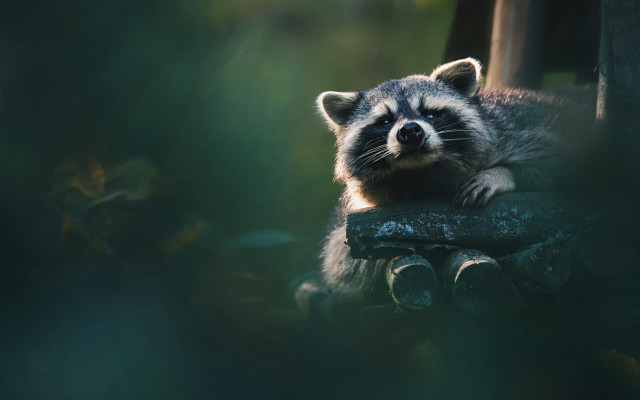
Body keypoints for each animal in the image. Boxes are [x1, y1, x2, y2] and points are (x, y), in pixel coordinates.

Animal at [316, 58, 589, 298]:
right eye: (385, 121)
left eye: (430, 114)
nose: (410, 130)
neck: (424, 170)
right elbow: (343, 262)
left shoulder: (517, 126)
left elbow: (563, 163)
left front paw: (502, 173)